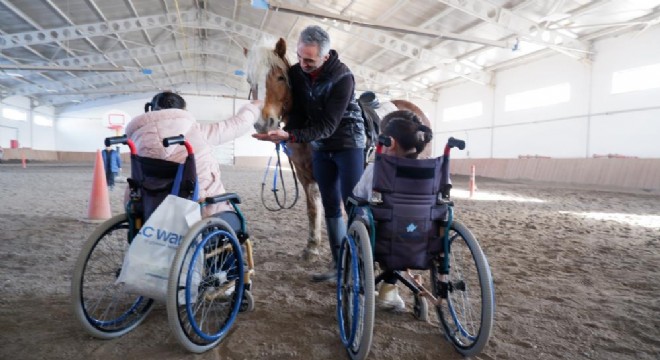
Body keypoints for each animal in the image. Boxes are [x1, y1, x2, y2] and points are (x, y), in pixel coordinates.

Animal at [246, 38, 434, 260]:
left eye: (281, 77)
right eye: (250, 81)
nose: (263, 124)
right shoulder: (306, 176)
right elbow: (314, 209)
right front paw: (312, 246)